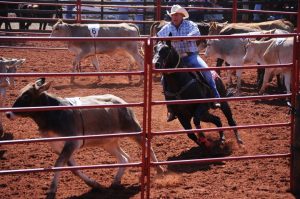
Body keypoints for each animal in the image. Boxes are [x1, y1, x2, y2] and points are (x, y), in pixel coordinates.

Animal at [5, 77, 164, 197]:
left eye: (26, 96)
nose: (8, 114)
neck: (53, 113)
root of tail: (121, 101)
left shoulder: (71, 142)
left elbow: (58, 164)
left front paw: (51, 190)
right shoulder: (58, 146)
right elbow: (73, 168)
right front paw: (95, 185)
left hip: (133, 130)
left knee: (147, 145)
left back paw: (160, 170)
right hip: (109, 142)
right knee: (124, 158)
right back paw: (116, 181)